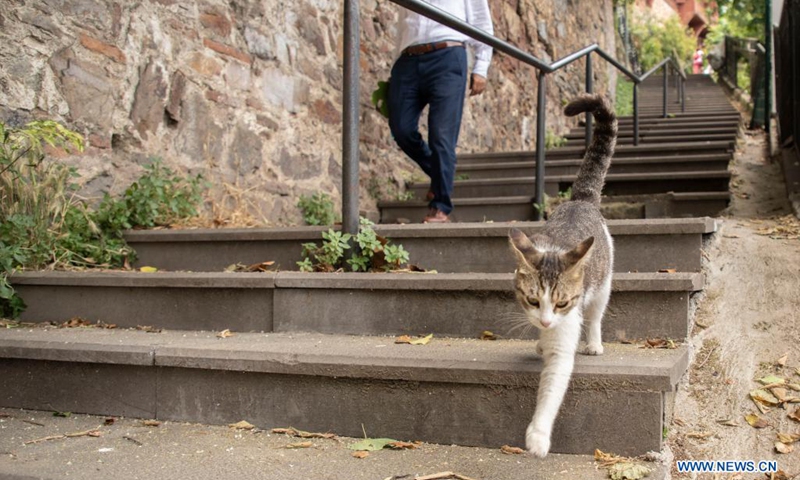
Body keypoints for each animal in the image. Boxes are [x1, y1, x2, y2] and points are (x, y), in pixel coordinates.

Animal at [510, 93, 616, 458]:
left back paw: (595, 344)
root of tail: (580, 199)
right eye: (532, 300)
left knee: (596, 315)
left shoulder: (569, 320)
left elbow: (553, 384)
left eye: (561, 303)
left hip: (603, 285)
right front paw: (540, 342)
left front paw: (538, 436)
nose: (545, 321)